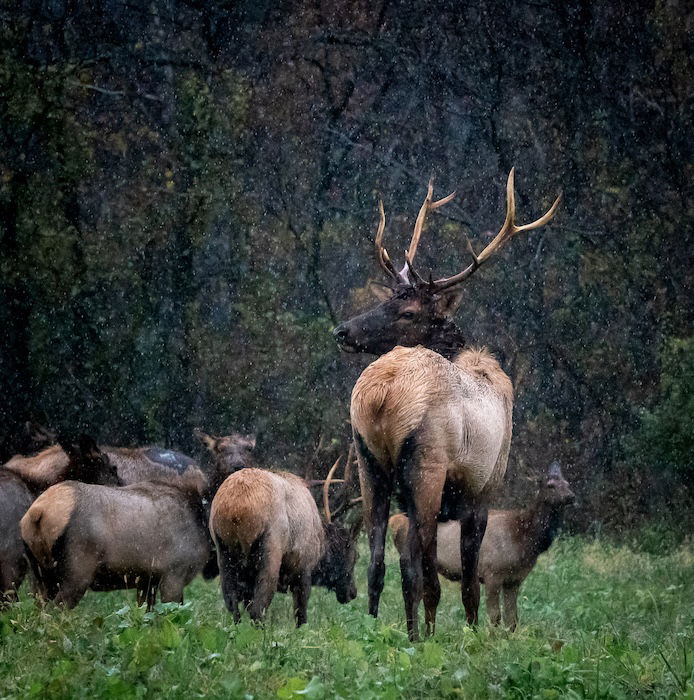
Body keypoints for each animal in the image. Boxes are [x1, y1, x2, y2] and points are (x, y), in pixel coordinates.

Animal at [392, 462, 576, 632]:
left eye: (567, 483)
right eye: (550, 485)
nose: (571, 496)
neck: (524, 540)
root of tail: (394, 521)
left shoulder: (514, 579)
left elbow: (513, 619)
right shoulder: (492, 573)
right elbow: (495, 616)